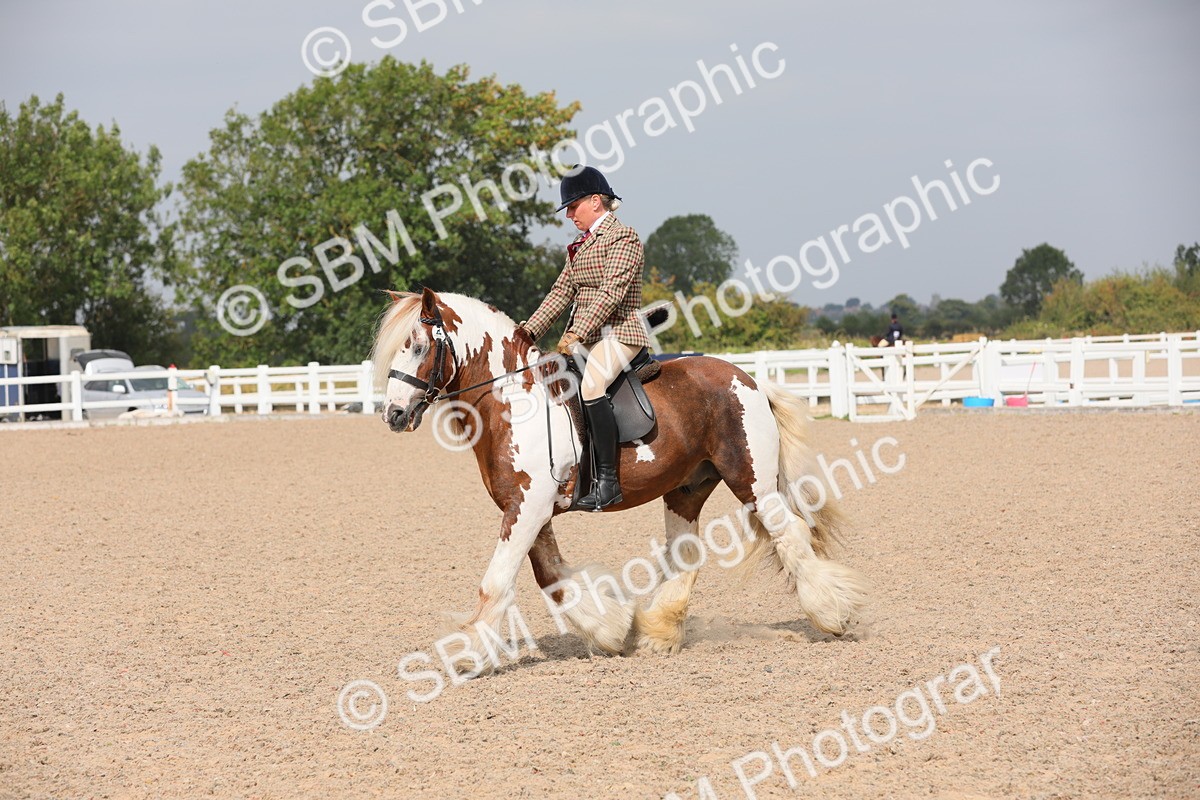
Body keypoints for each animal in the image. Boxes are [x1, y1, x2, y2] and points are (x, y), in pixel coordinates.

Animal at [371, 288, 868, 664]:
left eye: (418, 345)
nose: (393, 415)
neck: (514, 399)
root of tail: (748, 379)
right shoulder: (529, 509)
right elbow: (551, 578)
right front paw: (609, 629)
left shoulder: (527, 509)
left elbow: (497, 581)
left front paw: (468, 655)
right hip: (685, 489)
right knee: (686, 555)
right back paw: (657, 633)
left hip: (752, 484)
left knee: (791, 534)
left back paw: (832, 615)